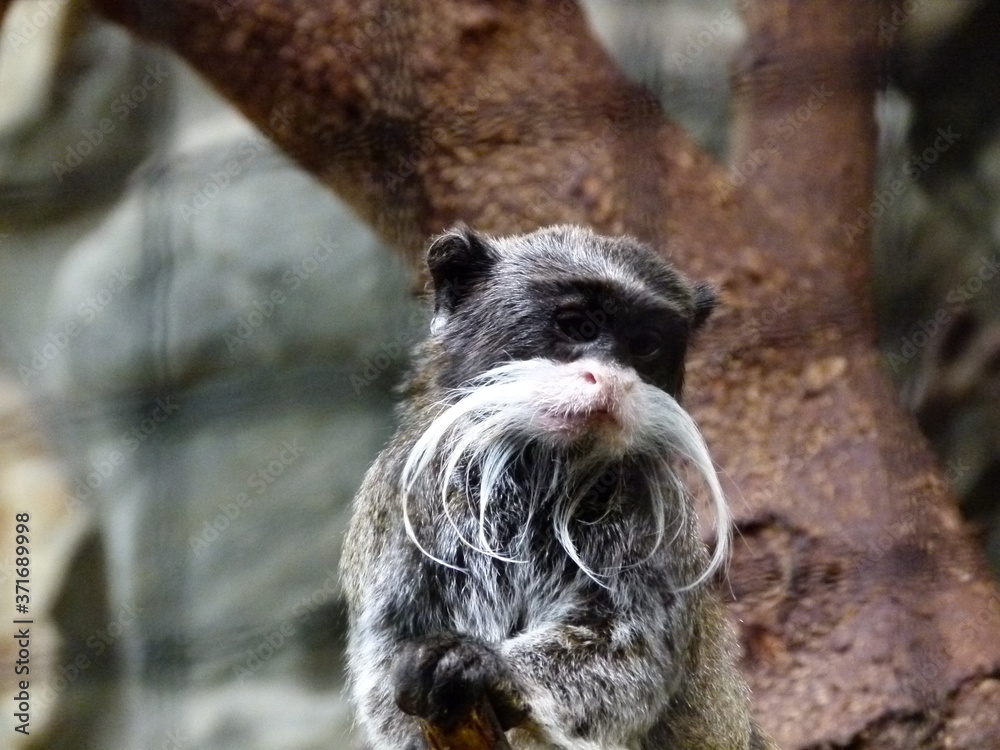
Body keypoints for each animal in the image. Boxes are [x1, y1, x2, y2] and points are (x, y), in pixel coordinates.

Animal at [342, 224, 775, 750]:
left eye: (644, 345)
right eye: (577, 327)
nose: (610, 379)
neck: (535, 477)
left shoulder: (652, 518)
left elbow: (629, 654)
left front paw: (491, 670)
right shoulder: (401, 501)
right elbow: (389, 672)